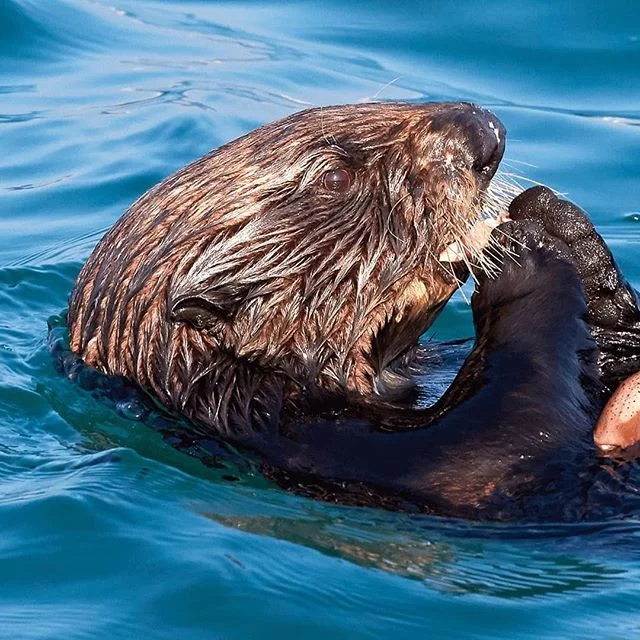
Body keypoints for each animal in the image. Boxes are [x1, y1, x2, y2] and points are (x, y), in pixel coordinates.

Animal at [66, 102, 640, 520]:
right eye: (335, 179)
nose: (485, 131)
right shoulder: (306, 437)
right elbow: (497, 442)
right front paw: (531, 249)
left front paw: (568, 231)